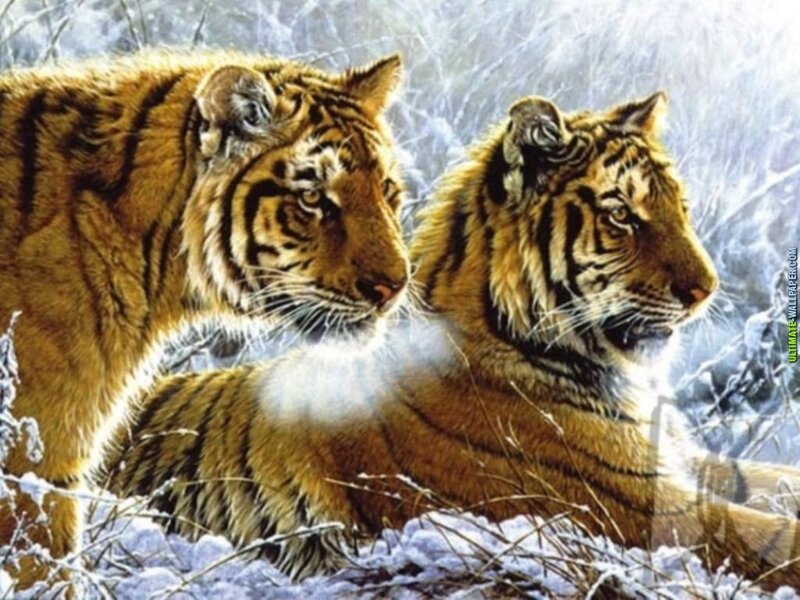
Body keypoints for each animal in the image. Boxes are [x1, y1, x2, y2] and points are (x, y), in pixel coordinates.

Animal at [106, 91, 800, 590]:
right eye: (621, 214)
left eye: (679, 207)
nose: (706, 289)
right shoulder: (632, 505)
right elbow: (764, 536)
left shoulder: (681, 463)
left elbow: (768, 479)